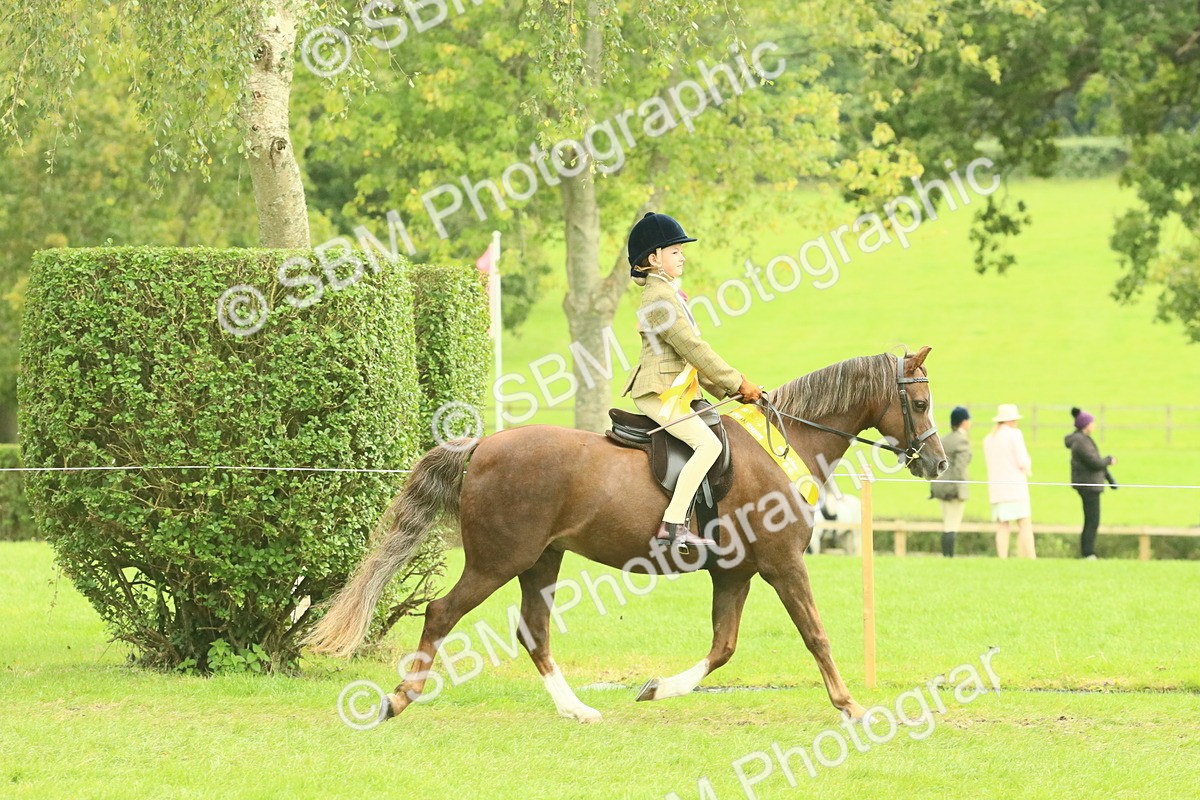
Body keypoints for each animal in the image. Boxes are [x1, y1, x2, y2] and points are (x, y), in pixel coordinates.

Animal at [305, 347, 946, 724]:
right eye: (918, 401)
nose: (937, 463)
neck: (785, 447)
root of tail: (483, 445)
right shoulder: (783, 563)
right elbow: (815, 635)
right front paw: (850, 705)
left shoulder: (736, 573)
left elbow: (723, 647)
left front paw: (656, 689)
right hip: (498, 561)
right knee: (442, 613)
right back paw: (399, 698)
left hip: (542, 561)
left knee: (533, 631)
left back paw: (577, 710)